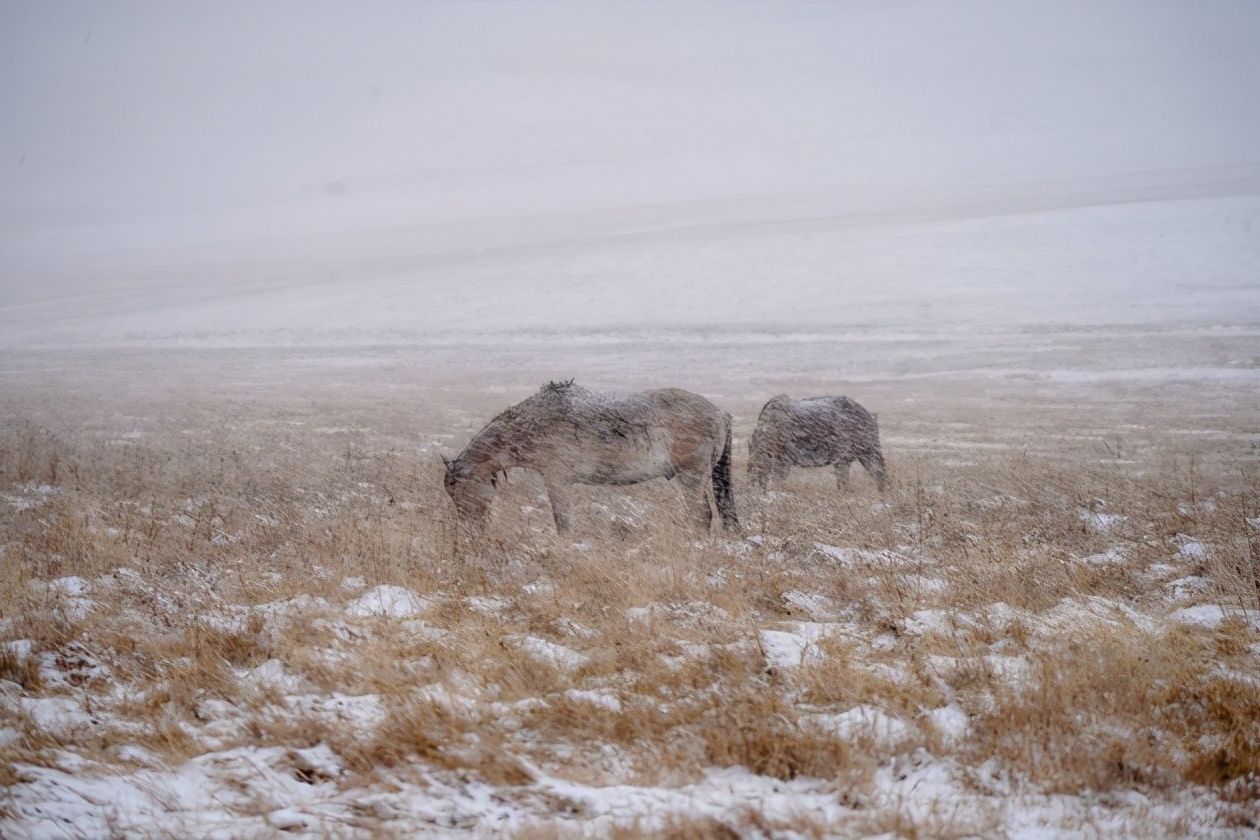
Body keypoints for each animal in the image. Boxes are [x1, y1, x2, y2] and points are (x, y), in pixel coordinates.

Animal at [443, 380, 735, 531]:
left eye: (457, 493)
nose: (471, 532)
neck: (534, 423)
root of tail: (720, 413)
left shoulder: (557, 481)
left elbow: (562, 522)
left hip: (691, 478)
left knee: (701, 516)